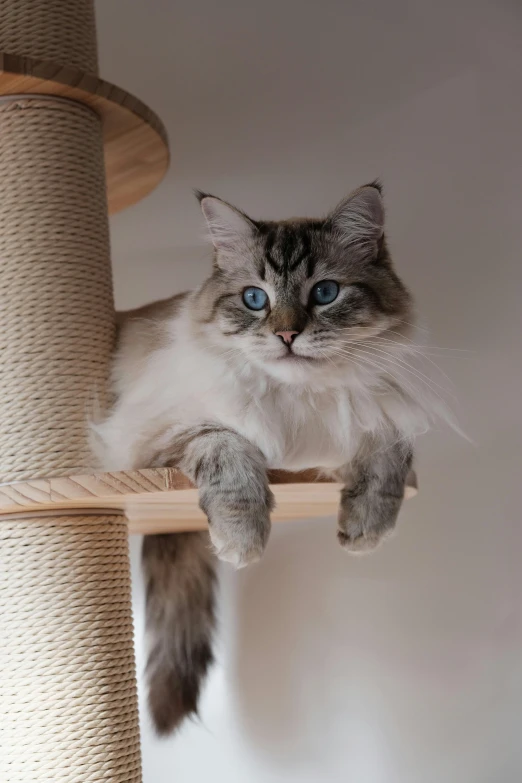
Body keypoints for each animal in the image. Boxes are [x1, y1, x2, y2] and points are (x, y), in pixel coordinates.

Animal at [92, 182, 442, 736]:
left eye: (325, 293)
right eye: (254, 299)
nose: (286, 335)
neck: (297, 399)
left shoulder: (370, 418)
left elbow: (388, 454)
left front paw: (364, 530)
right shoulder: (157, 441)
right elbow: (232, 452)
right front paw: (242, 543)